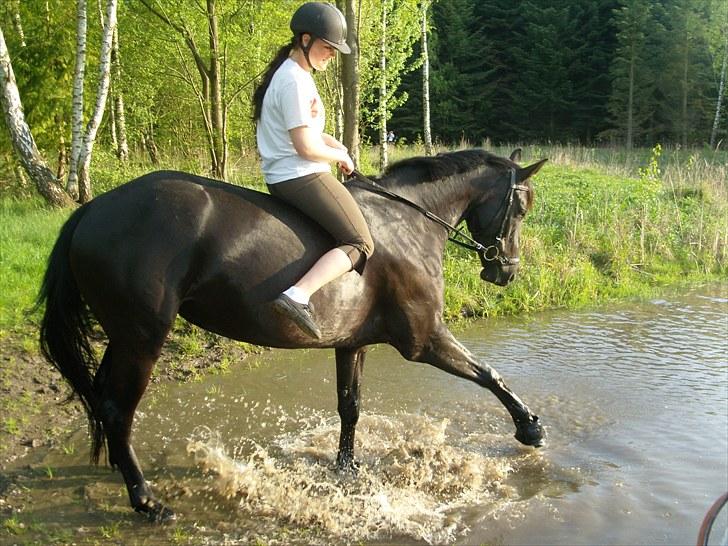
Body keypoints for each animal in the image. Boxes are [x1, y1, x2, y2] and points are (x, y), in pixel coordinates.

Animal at [35, 148, 544, 520]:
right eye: (520, 207)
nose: (506, 272)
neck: (407, 224)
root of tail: (93, 210)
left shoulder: (352, 343)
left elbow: (350, 406)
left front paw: (347, 469)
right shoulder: (424, 339)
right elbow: (489, 374)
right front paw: (530, 427)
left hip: (122, 337)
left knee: (102, 398)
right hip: (142, 339)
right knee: (118, 409)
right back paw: (146, 500)